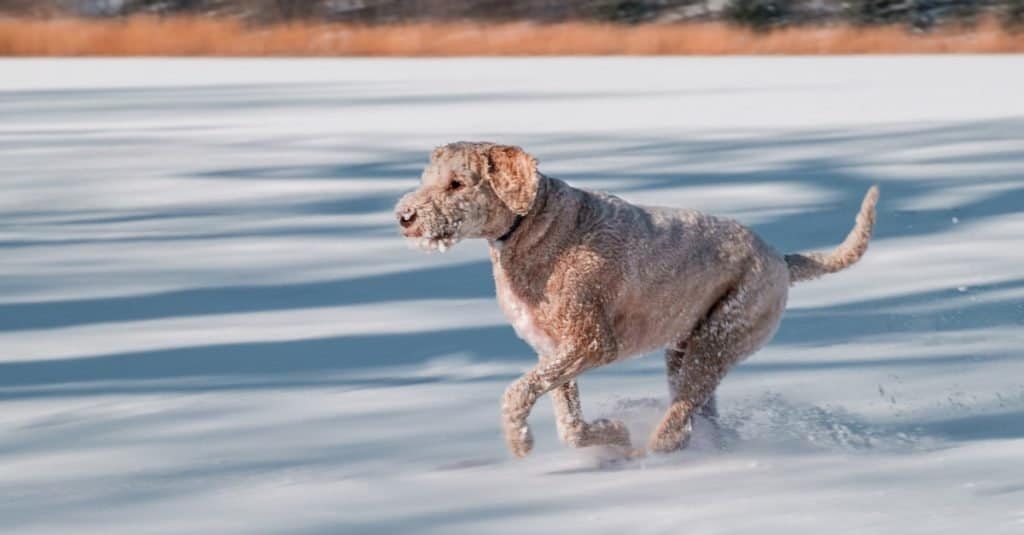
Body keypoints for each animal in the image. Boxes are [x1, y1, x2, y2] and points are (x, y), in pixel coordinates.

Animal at [395, 142, 876, 457]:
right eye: (426, 180)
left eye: (458, 183)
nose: (404, 216)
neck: (532, 225)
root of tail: (780, 257)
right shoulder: (554, 351)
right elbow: (568, 423)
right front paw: (612, 435)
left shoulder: (590, 342)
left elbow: (517, 393)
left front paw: (521, 441)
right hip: (686, 351)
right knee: (697, 411)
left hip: (719, 340)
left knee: (680, 416)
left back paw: (657, 452)